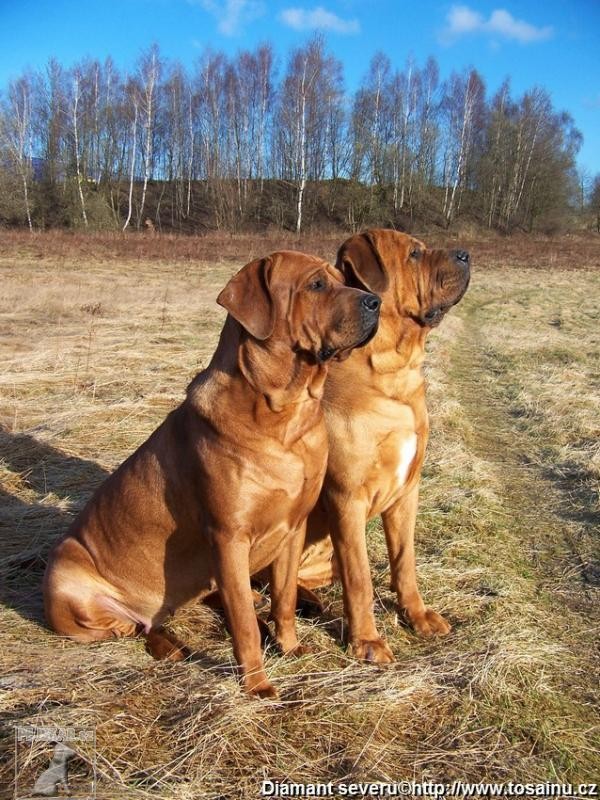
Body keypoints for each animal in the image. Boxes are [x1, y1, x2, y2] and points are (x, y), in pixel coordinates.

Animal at [44, 253, 380, 696]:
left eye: (343, 278)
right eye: (317, 285)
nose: (376, 301)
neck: (286, 415)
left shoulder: (293, 528)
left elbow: (285, 599)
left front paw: (290, 647)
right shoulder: (228, 537)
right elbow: (244, 626)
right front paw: (257, 685)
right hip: (68, 584)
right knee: (133, 627)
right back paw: (167, 643)